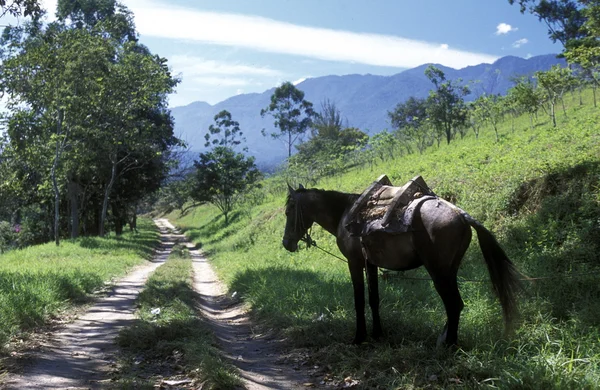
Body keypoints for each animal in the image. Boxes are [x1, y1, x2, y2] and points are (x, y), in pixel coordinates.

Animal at [282, 184, 520, 346]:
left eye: (288, 211)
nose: (286, 243)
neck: (344, 214)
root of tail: (461, 215)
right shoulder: (371, 264)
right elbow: (374, 300)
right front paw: (377, 334)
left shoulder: (354, 263)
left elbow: (359, 301)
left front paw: (359, 338)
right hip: (450, 271)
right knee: (456, 305)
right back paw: (446, 339)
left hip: (438, 273)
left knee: (453, 304)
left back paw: (449, 345)